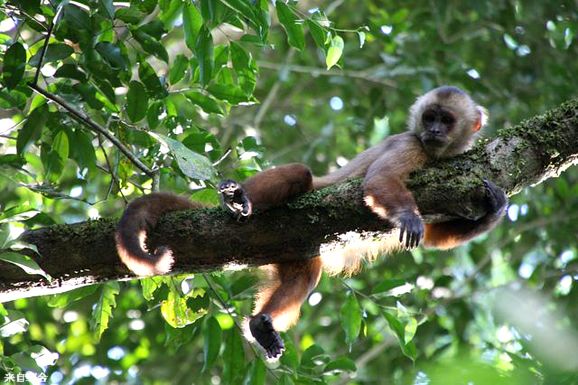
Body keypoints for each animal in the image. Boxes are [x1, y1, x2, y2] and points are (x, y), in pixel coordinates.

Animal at [116, 85, 504, 358]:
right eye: (429, 118)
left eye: (446, 120)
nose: (434, 131)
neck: (437, 155)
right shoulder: (411, 144)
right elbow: (379, 182)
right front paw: (408, 215)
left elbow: (435, 236)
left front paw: (495, 207)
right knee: (301, 176)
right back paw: (239, 200)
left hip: (291, 249)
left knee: (304, 276)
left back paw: (261, 324)